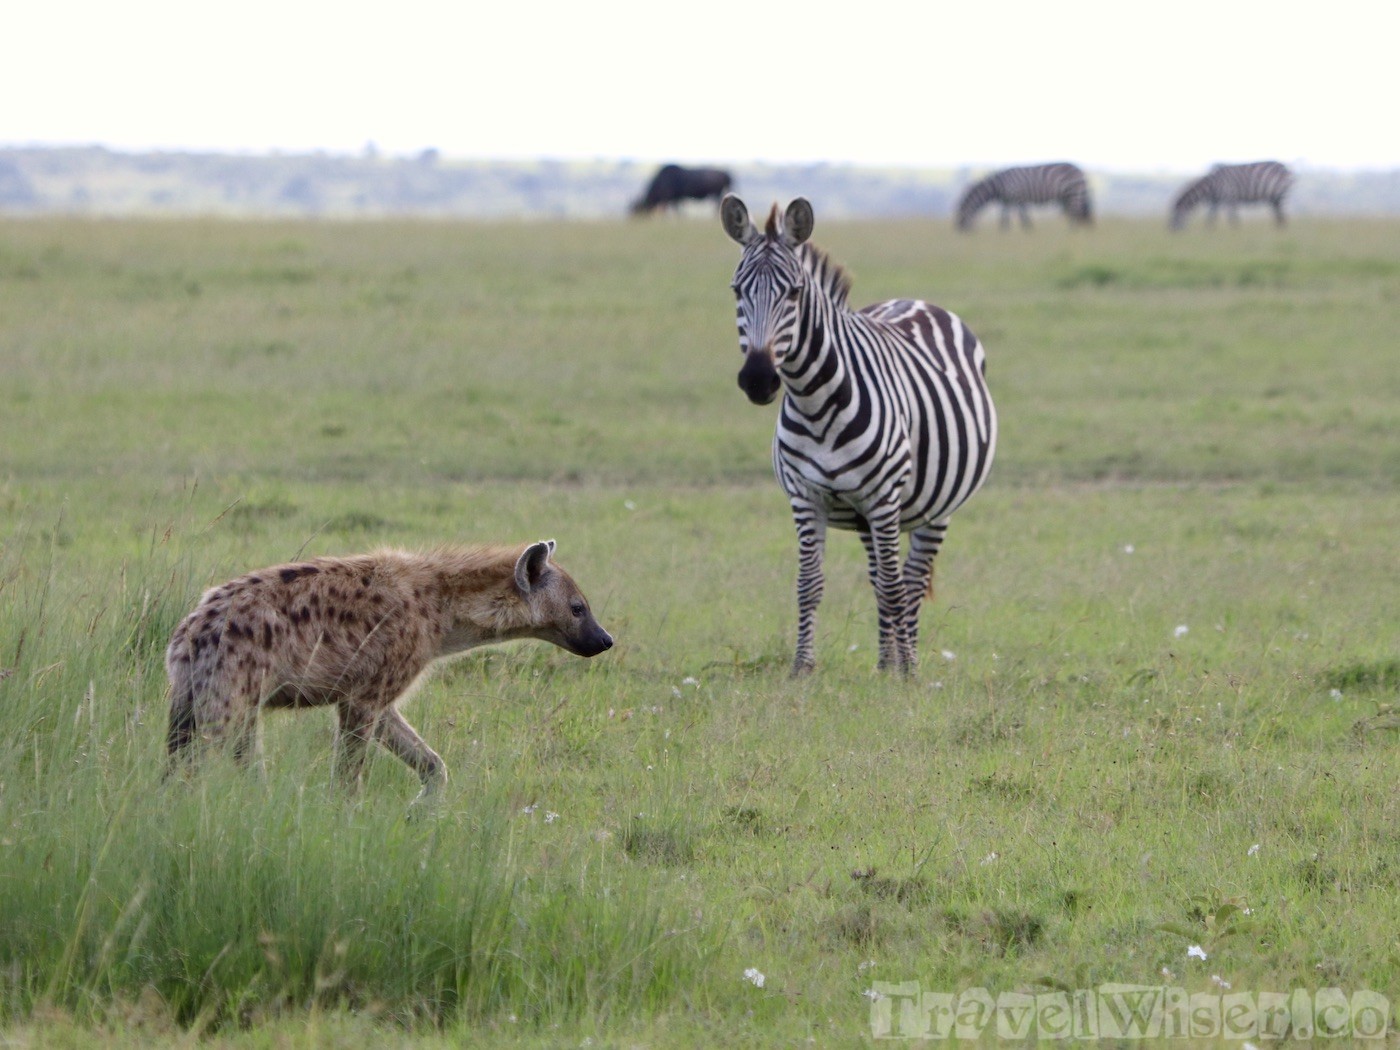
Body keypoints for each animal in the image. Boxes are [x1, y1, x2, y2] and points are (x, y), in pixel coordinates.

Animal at [721, 195, 997, 675]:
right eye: (738, 290)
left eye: (794, 293)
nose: (757, 380)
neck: (815, 402)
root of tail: (914, 299)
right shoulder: (806, 496)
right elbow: (809, 583)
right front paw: (803, 667)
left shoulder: (884, 496)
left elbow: (894, 586)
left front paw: (905, 673)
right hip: (868, 515)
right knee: (880, 577)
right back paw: (885, 662)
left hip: (932, 507)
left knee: (908, 579)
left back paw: (906, 664)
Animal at [955, 163, 1092, 231]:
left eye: (961, 216)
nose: (959, 231)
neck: (999, 185)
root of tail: (1079, 170)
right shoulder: (1007, 201)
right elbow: (1004, 216)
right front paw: (1003, 231)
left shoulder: (1017, 197)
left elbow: (1022, 215)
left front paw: (1027, 230)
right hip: (1066, 196)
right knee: (1072, 212)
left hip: (1074, 191)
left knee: (1076, 212)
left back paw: (1071, 232)